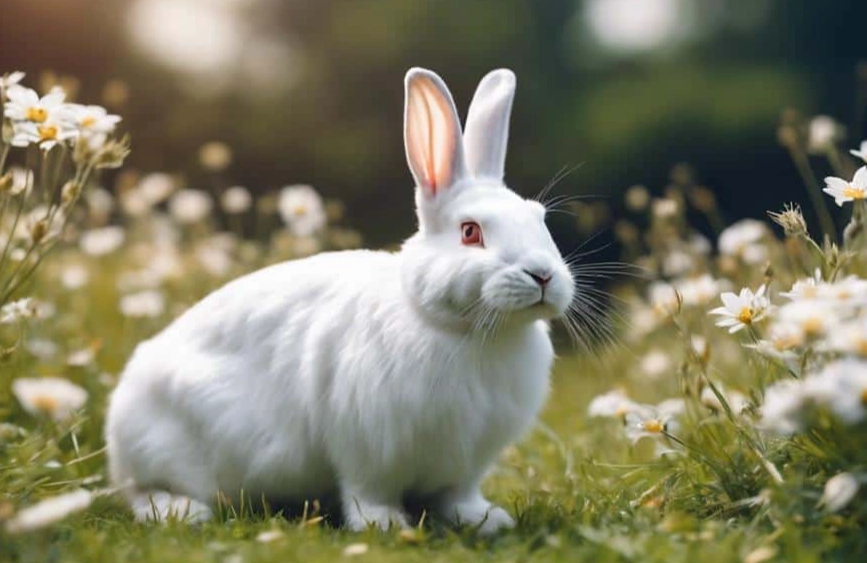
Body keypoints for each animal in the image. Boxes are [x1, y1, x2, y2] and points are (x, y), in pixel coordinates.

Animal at [105, 67, 575, 534]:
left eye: (540, 219)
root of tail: (117, 425)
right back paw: (184, 511)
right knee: (141, 493)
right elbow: (368, 493)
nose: (543, 274)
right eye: (470, 232)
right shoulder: (369, 447)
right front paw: (386, 525)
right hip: (166, 451)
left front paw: (486, 520)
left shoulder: (465, 464)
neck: (460, 329)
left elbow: (457, 496)